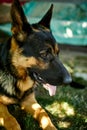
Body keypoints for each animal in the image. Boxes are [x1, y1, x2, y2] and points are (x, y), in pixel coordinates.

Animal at [0, 0, 71, 129]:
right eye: (44, 54)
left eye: (58, 53)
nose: (69, 81)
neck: (16, 78)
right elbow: (10, 119)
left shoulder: (30, 102)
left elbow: (43, 114)